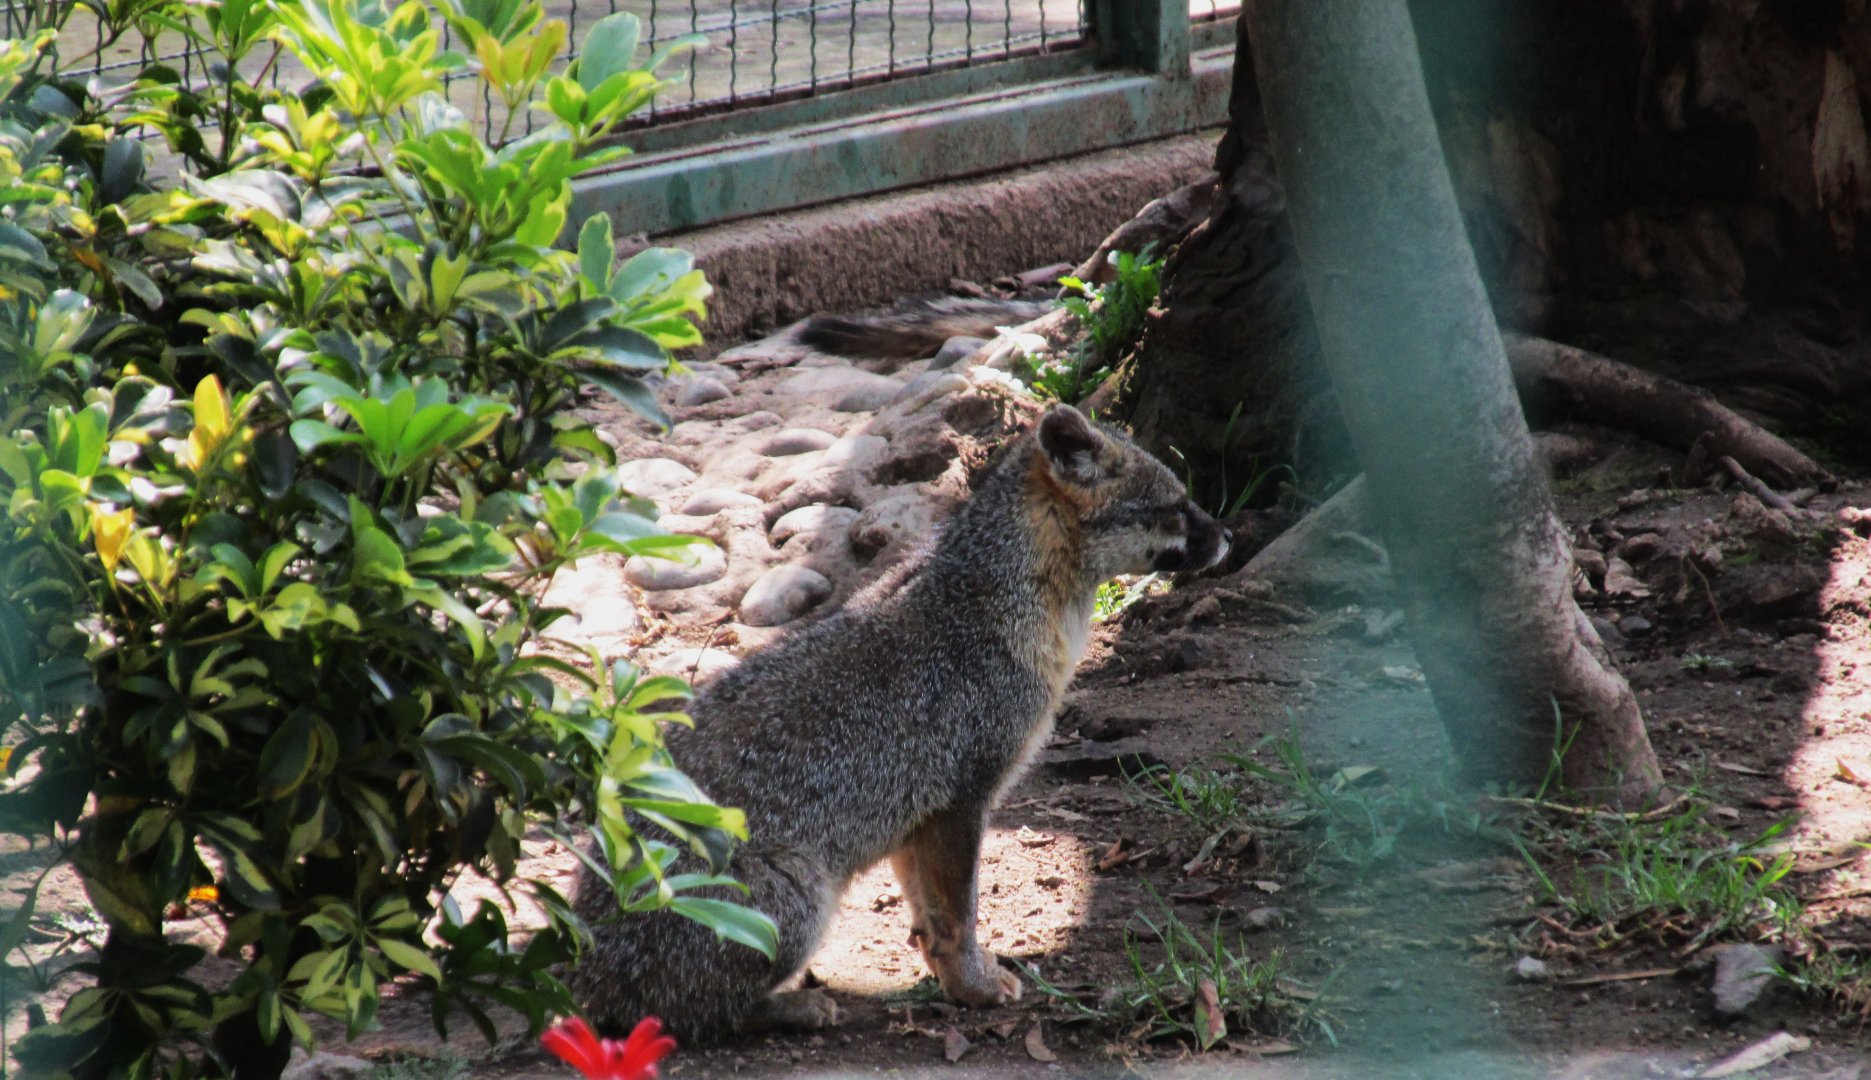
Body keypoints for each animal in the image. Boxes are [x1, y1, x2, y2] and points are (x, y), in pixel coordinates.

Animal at [570, 403, 1230, 1041]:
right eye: (1176, 506)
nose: (1228, 535)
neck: (988, 605)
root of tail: (583, 967)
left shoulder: (919, 817)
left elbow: (929, 922)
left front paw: (953, 983)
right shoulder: (965, 797)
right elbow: (960, 915)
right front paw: (977, 987)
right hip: (799, 894)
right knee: (691, 1015)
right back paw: (798, 1008)